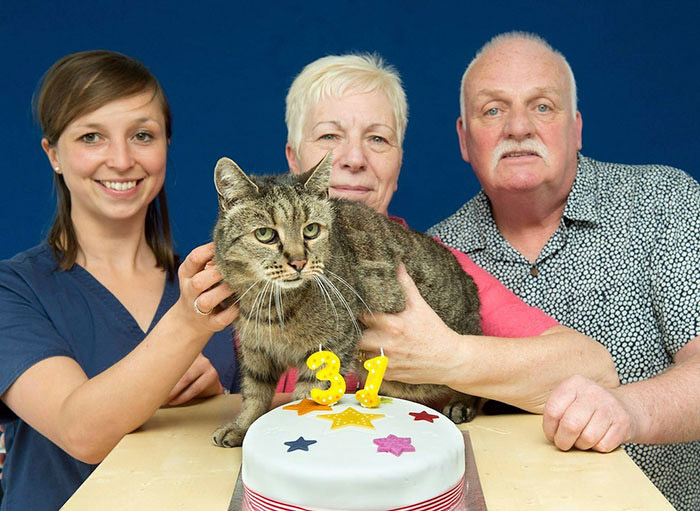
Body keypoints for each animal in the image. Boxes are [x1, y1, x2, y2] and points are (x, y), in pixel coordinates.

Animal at [209, 153, 482, 448]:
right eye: (265, 235)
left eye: (311, 230)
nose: (298, 262)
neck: (271, 304)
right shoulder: (255, 349)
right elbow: (254, 394)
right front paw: (241, 427)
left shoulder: (331, 347)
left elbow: (307, 396)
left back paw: (462, 403)